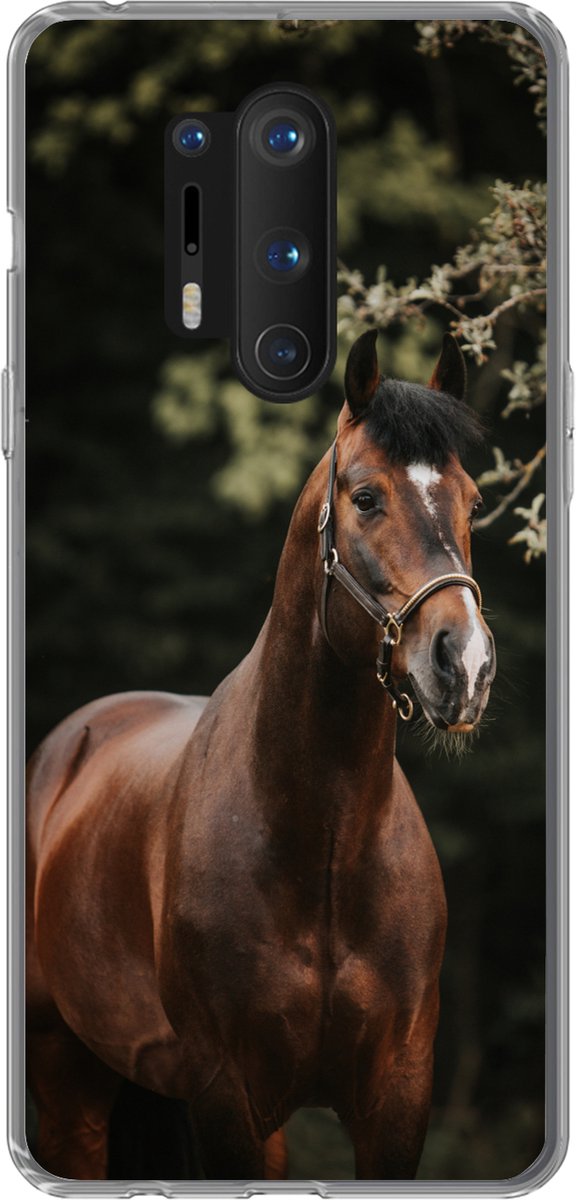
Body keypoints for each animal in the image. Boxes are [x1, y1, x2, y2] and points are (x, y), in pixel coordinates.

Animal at [26, 329, 496, 1182]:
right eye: (365, 497)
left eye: (473, 500)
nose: (466, 664)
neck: (324, 845)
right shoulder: (226, 1094)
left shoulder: (397, 1099)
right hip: (68, 1086)